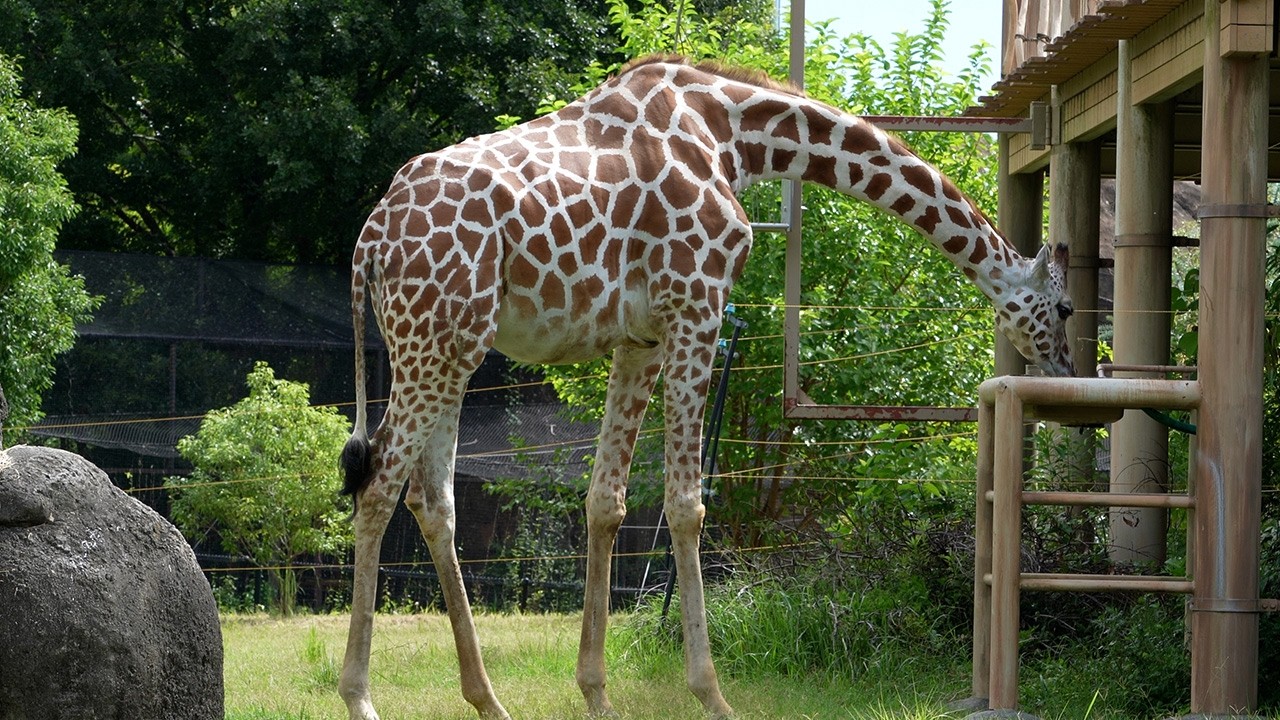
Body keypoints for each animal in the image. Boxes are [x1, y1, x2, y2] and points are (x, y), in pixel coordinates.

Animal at [337, 54, 1076, 720]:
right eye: (1066, 309)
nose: (1068, 376)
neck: (735, 132)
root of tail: (368, 242)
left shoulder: (639, 335)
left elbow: (606, 500)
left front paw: (596, 694)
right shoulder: (697, 301)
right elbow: (687, 504)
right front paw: (712, 694)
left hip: (452, 343)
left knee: (432, 501)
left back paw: (488, 700)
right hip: (434, 339)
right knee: (377, 485)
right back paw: (360, 698)